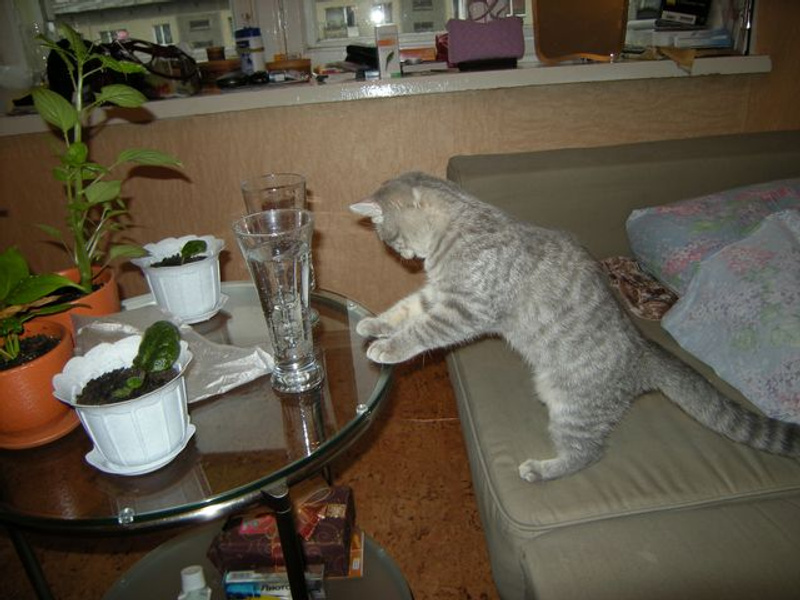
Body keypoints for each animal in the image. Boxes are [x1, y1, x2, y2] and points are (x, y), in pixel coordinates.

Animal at [350, 171, 800, 482]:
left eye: (388, 236)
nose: (401, 253)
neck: (462, 225)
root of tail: (642, 354)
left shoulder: (464, 308)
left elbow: (420, 332)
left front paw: (388, 347)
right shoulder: (436, 295)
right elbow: (403, 311)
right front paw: (372, 323)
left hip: (572, 405)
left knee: (589, 453)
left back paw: (542, 469)